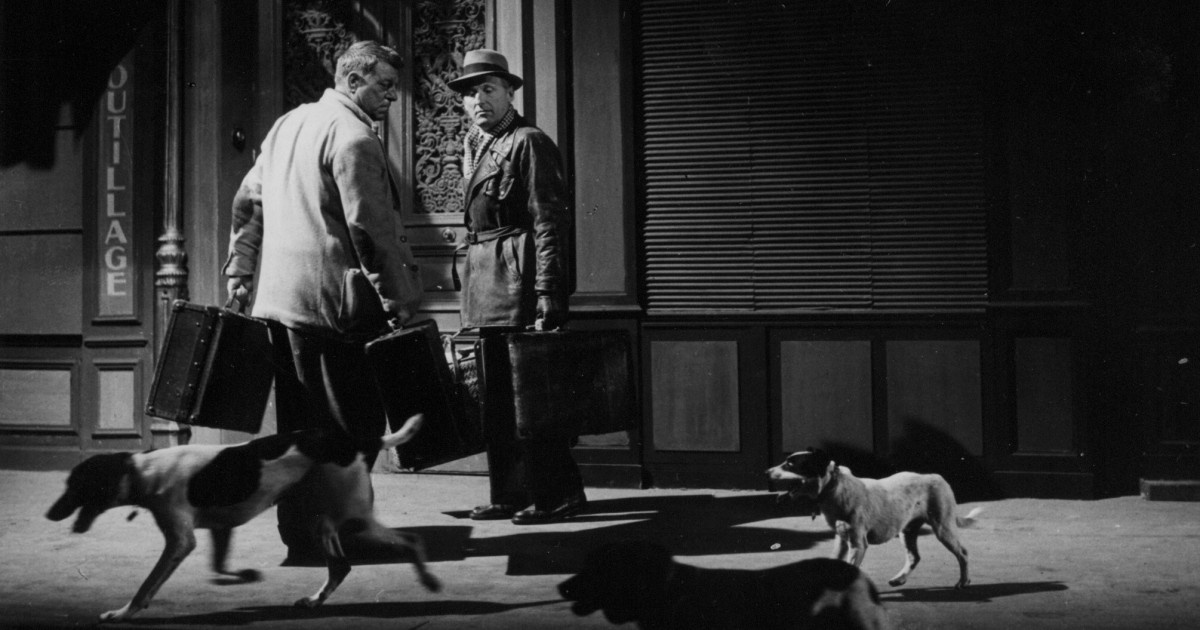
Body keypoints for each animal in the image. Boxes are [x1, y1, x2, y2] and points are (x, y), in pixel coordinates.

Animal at [46, 414, 440, 623]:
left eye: (74, 486)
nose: (50, 513)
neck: (143, 471)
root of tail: (352, 440)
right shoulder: (220, 529)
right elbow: (219, 566)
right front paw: (244, 576)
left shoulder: (180, 541)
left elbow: (148, 584)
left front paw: (123, 613)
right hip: (318, 518)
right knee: (340, 567)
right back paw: (314, 601)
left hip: (352, 517)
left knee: (411, 539)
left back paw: (429, 580)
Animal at [768, 449, 981, 589]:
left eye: (790, 464)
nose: (765, 472)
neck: (832, 487)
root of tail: (937, 476)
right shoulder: (841, 542)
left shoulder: (857, 544)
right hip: (907, 532)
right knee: (914, 556)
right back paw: (900, 579)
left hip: (943, 528)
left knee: (963, 553)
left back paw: (963, 581)